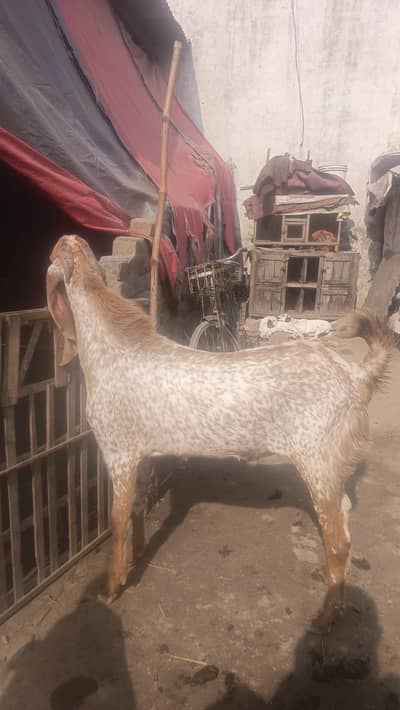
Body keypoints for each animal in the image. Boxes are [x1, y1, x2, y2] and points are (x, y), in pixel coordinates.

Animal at [46, 235, 392, 632]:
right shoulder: (142, 455)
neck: (113, 350)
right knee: (345, 518)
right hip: (332, 466)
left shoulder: (118, 453)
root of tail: (356, 376)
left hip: (317, 461)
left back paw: (326, 616)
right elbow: (137, 507)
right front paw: (137, 556)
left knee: (337, 540)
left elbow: (117, 520)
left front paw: (111, 587)